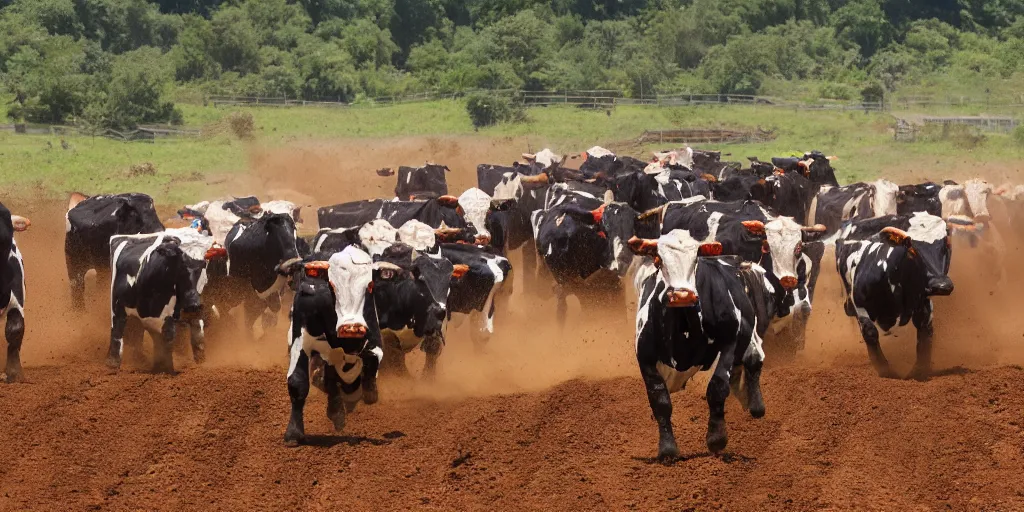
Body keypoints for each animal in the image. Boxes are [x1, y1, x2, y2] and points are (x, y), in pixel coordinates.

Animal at [284, 246, 385, 444]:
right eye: (331, 285)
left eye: (369, 285)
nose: (351, 328)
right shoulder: (301, 338)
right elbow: (297, 381)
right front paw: (293, 433)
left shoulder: (372, 339)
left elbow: (368, 363)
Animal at [626, 230, 765, 458]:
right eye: (659, 259)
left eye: (695, 259)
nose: (682, 295)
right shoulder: (644, 357)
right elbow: (659, 399)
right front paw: (667, 449)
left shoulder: (729, 342)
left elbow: (717, 388)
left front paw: (716, 439)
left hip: (749, 331)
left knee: (754, 358)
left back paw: (756, 406)